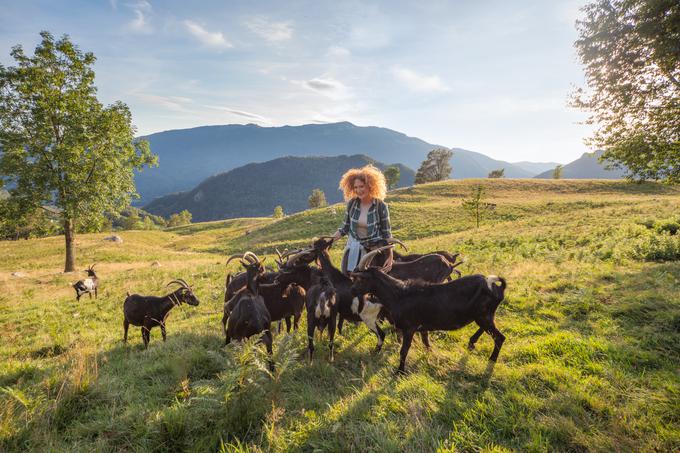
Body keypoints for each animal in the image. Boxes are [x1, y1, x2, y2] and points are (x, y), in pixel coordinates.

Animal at [350, 245, 504, 372]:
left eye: (360, 278)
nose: (352, 291)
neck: (398, 294)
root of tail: (498, 288)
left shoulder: (409, 328)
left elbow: (404, 350)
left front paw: (400, 371)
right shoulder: (422, 327)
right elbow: (426, 342)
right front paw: (429, 353)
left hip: (483, 316)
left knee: (499, 337)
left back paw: (491, 360)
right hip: (484, 315)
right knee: (487, 329)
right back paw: (472, 343)